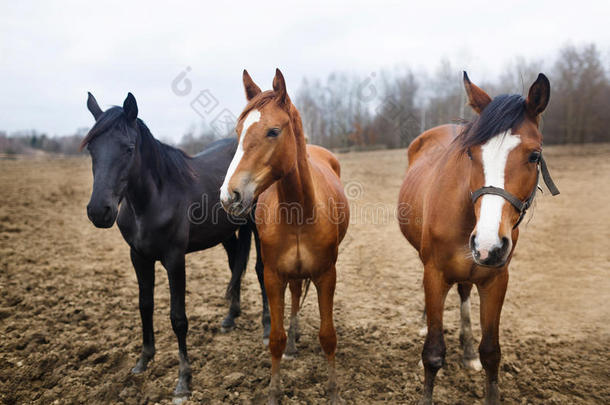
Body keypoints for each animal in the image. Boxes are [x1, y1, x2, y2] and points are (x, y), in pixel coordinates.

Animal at [81, 94, 270, 398]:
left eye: (128, 148)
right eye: (92, 149)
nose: (99, 211)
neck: (153, 199)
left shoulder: (174, 259)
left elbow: (178, 318)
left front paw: (183, 380)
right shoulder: (138, 257)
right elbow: (144, 305)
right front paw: (143, 360)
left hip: (256, 227)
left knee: (261, 271)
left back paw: (266, 329)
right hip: (226, 233)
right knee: (235, 266)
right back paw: (230, 318)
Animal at [221, 70, 350, 404]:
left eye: (273, 131)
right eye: (238, 131)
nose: (229, 195)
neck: (299, 214)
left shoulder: (326, 275)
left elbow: (328, 337)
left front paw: (333, 391)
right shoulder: (273, 276)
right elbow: (275, 339)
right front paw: (274, 391)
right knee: (293, 298)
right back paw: (293, 343)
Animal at [396, 72, 560, 404]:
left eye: (534, 155)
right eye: (470, 153)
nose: (488, 245)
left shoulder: (495, 279)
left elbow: (491, 353)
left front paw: (476, 355)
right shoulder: (434, 274)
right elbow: (433, 353)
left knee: (463, 293)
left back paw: (467, 350)